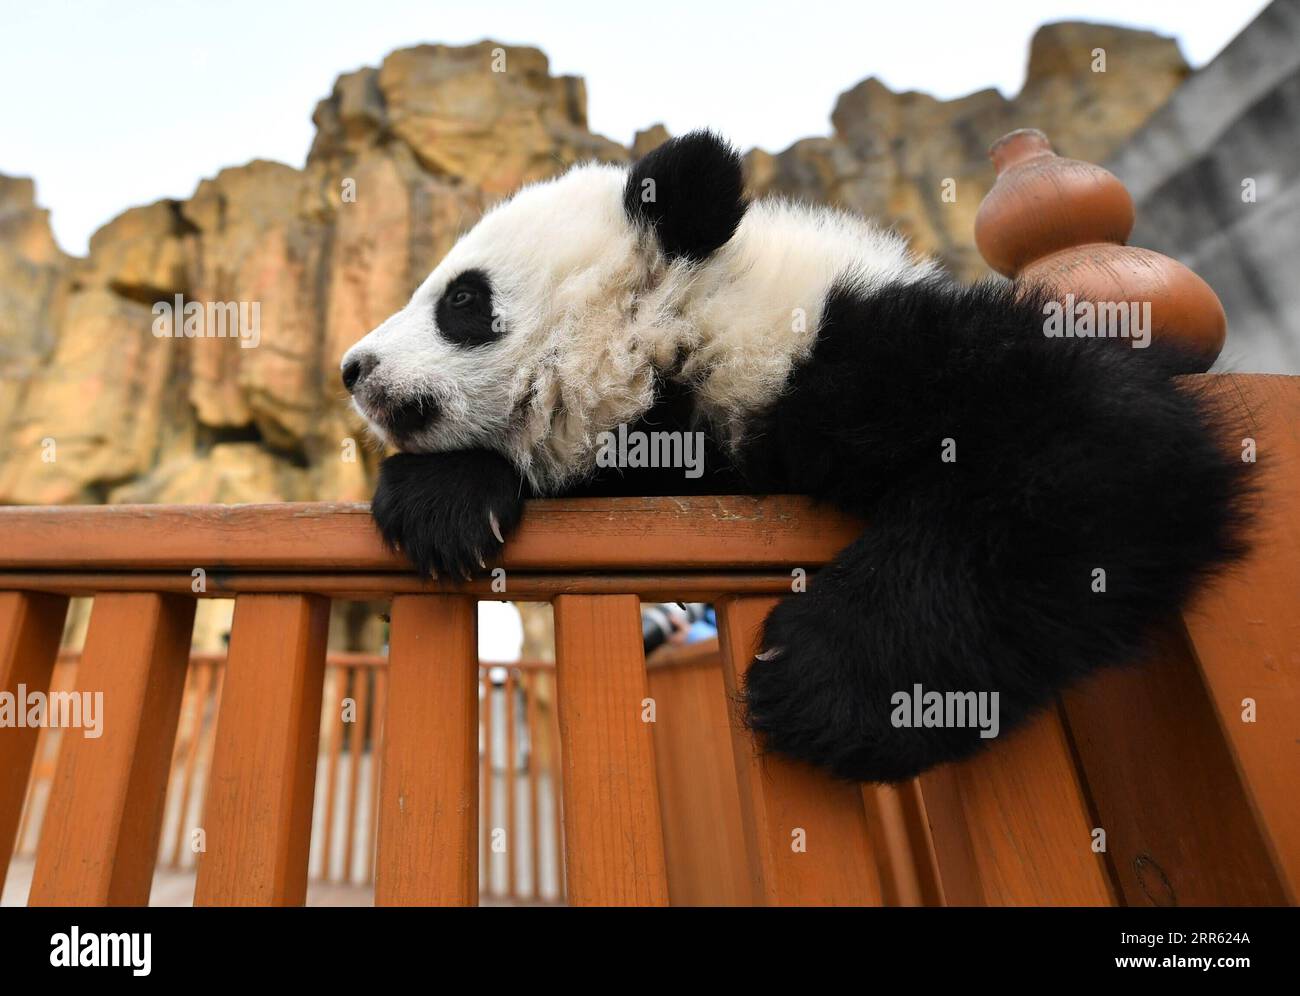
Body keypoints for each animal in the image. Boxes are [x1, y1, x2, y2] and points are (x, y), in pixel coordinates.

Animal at [341, 131, 1249, 782]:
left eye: (463, 300)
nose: (354, 368)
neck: (691, 328)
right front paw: (443, 499)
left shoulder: (847, 350)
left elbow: (1100, 443)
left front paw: (831, 683)